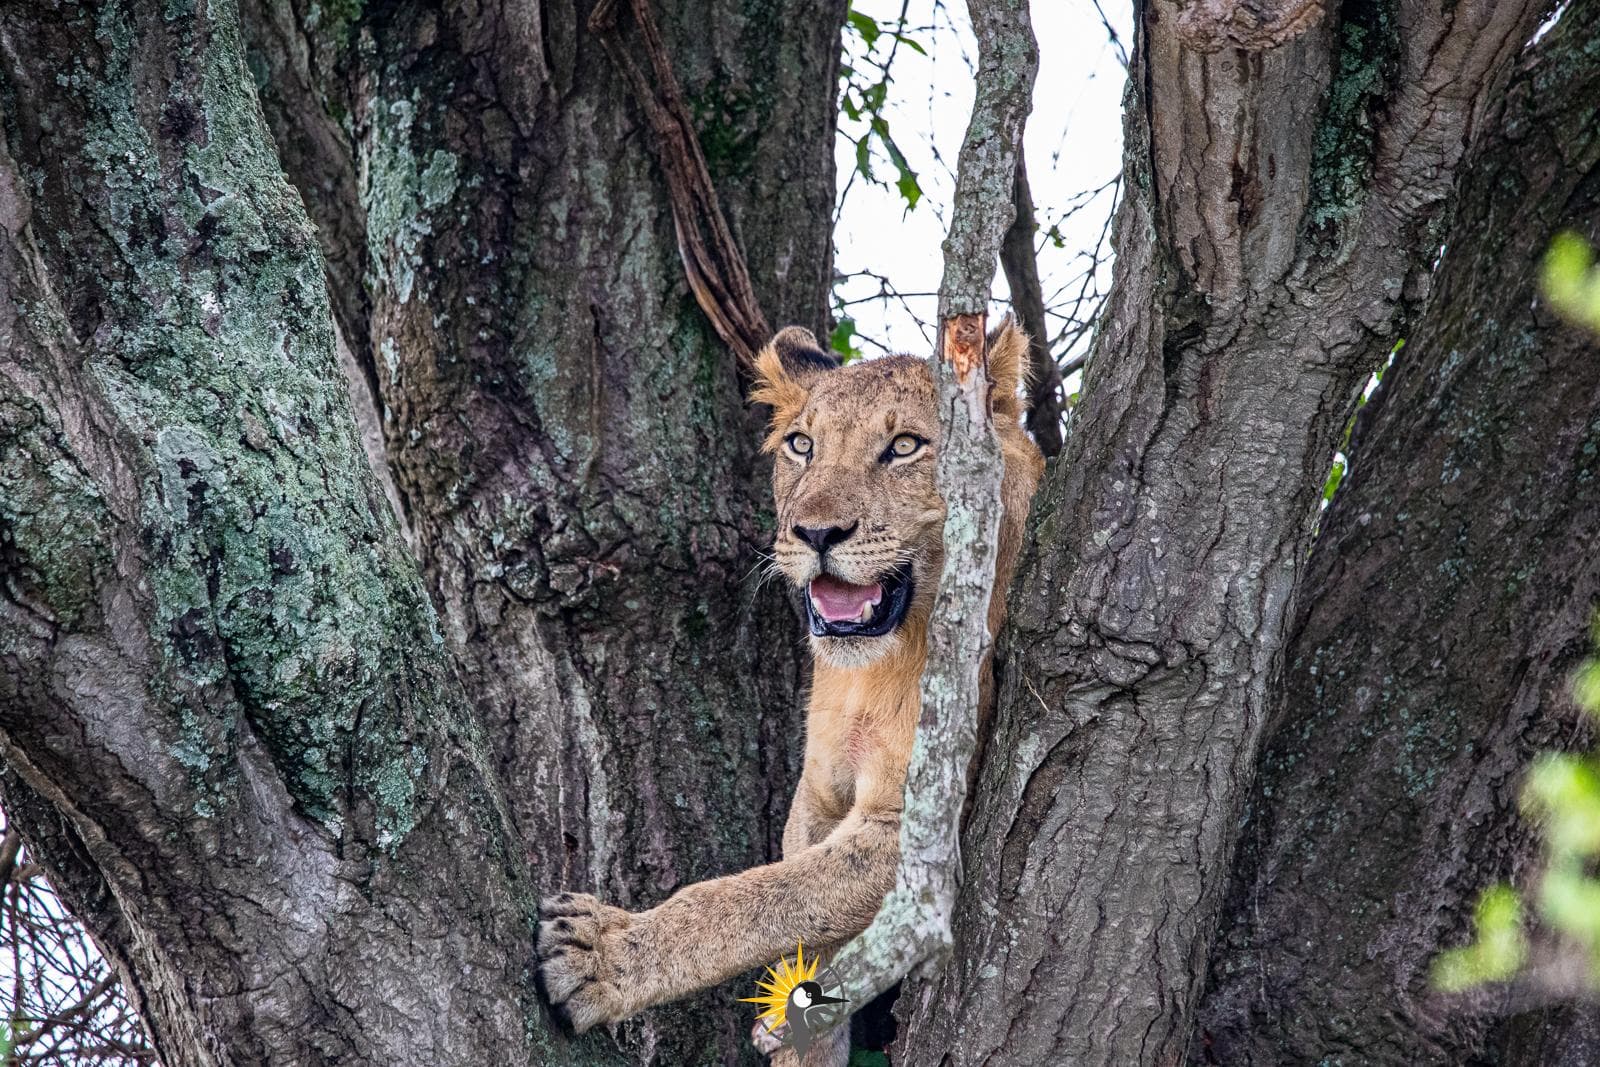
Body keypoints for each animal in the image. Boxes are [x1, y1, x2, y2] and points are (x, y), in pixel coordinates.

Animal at [535, 321, 1044, 1064]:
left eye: (905, 447)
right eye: (802, 446)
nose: (817, 533)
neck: (873, 671)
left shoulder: (922, 833)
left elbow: (755, 897)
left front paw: (604, 953)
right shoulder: (816, 799)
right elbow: (795, 910)